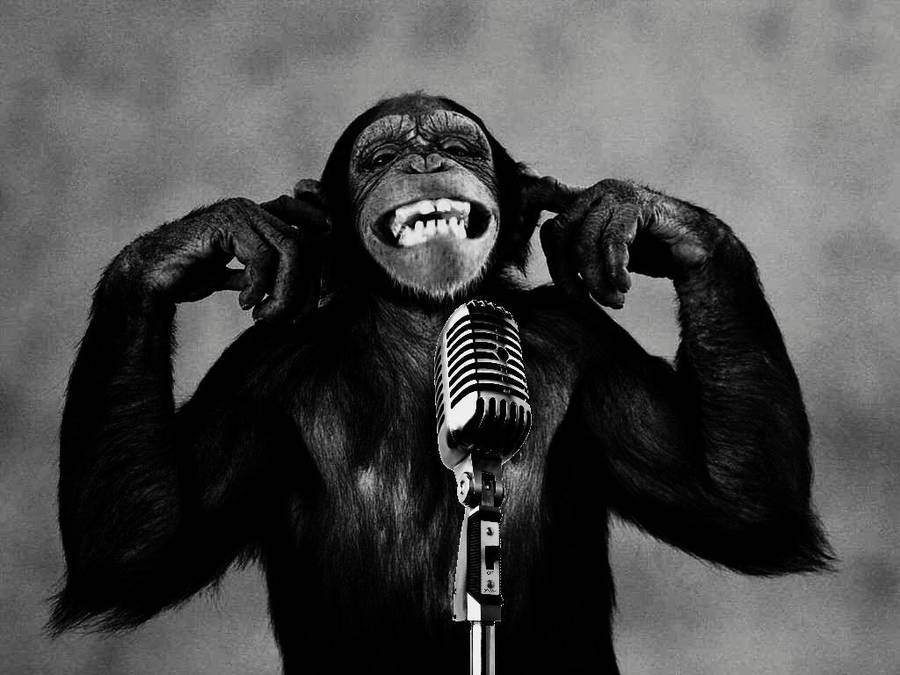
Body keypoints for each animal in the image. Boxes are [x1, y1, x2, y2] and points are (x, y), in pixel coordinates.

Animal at [50, 93, 832, 673]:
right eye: (381, 158)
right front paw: (203, 240)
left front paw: (634, 214)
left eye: (459, 149)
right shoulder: (256, 378)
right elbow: (137, 545)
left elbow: (737, 500)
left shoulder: (588, 349)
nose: (424, 160)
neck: (429, 324)